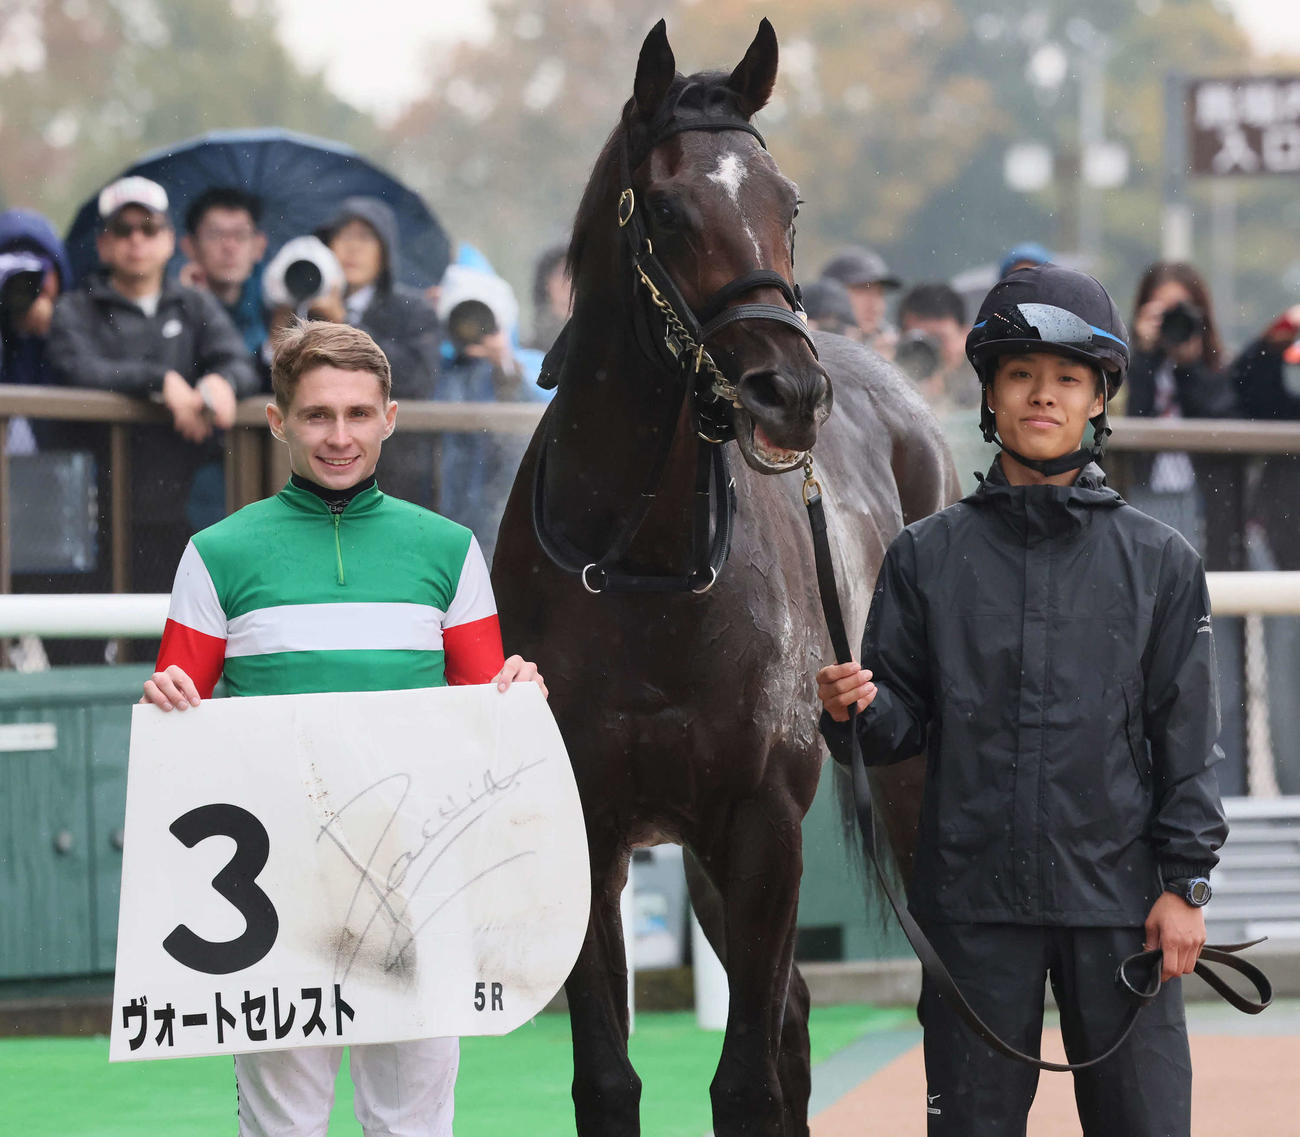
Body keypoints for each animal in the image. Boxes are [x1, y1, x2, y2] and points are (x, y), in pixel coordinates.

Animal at [492, 19, 959, 1137]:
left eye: (785, 202)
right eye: (666, 207)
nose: (788, 391)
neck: (637, 567)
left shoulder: (761, 823)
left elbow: (743, 1081)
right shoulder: (595, 827)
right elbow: (608, 1078)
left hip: (904, 779)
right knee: (791, 1012)